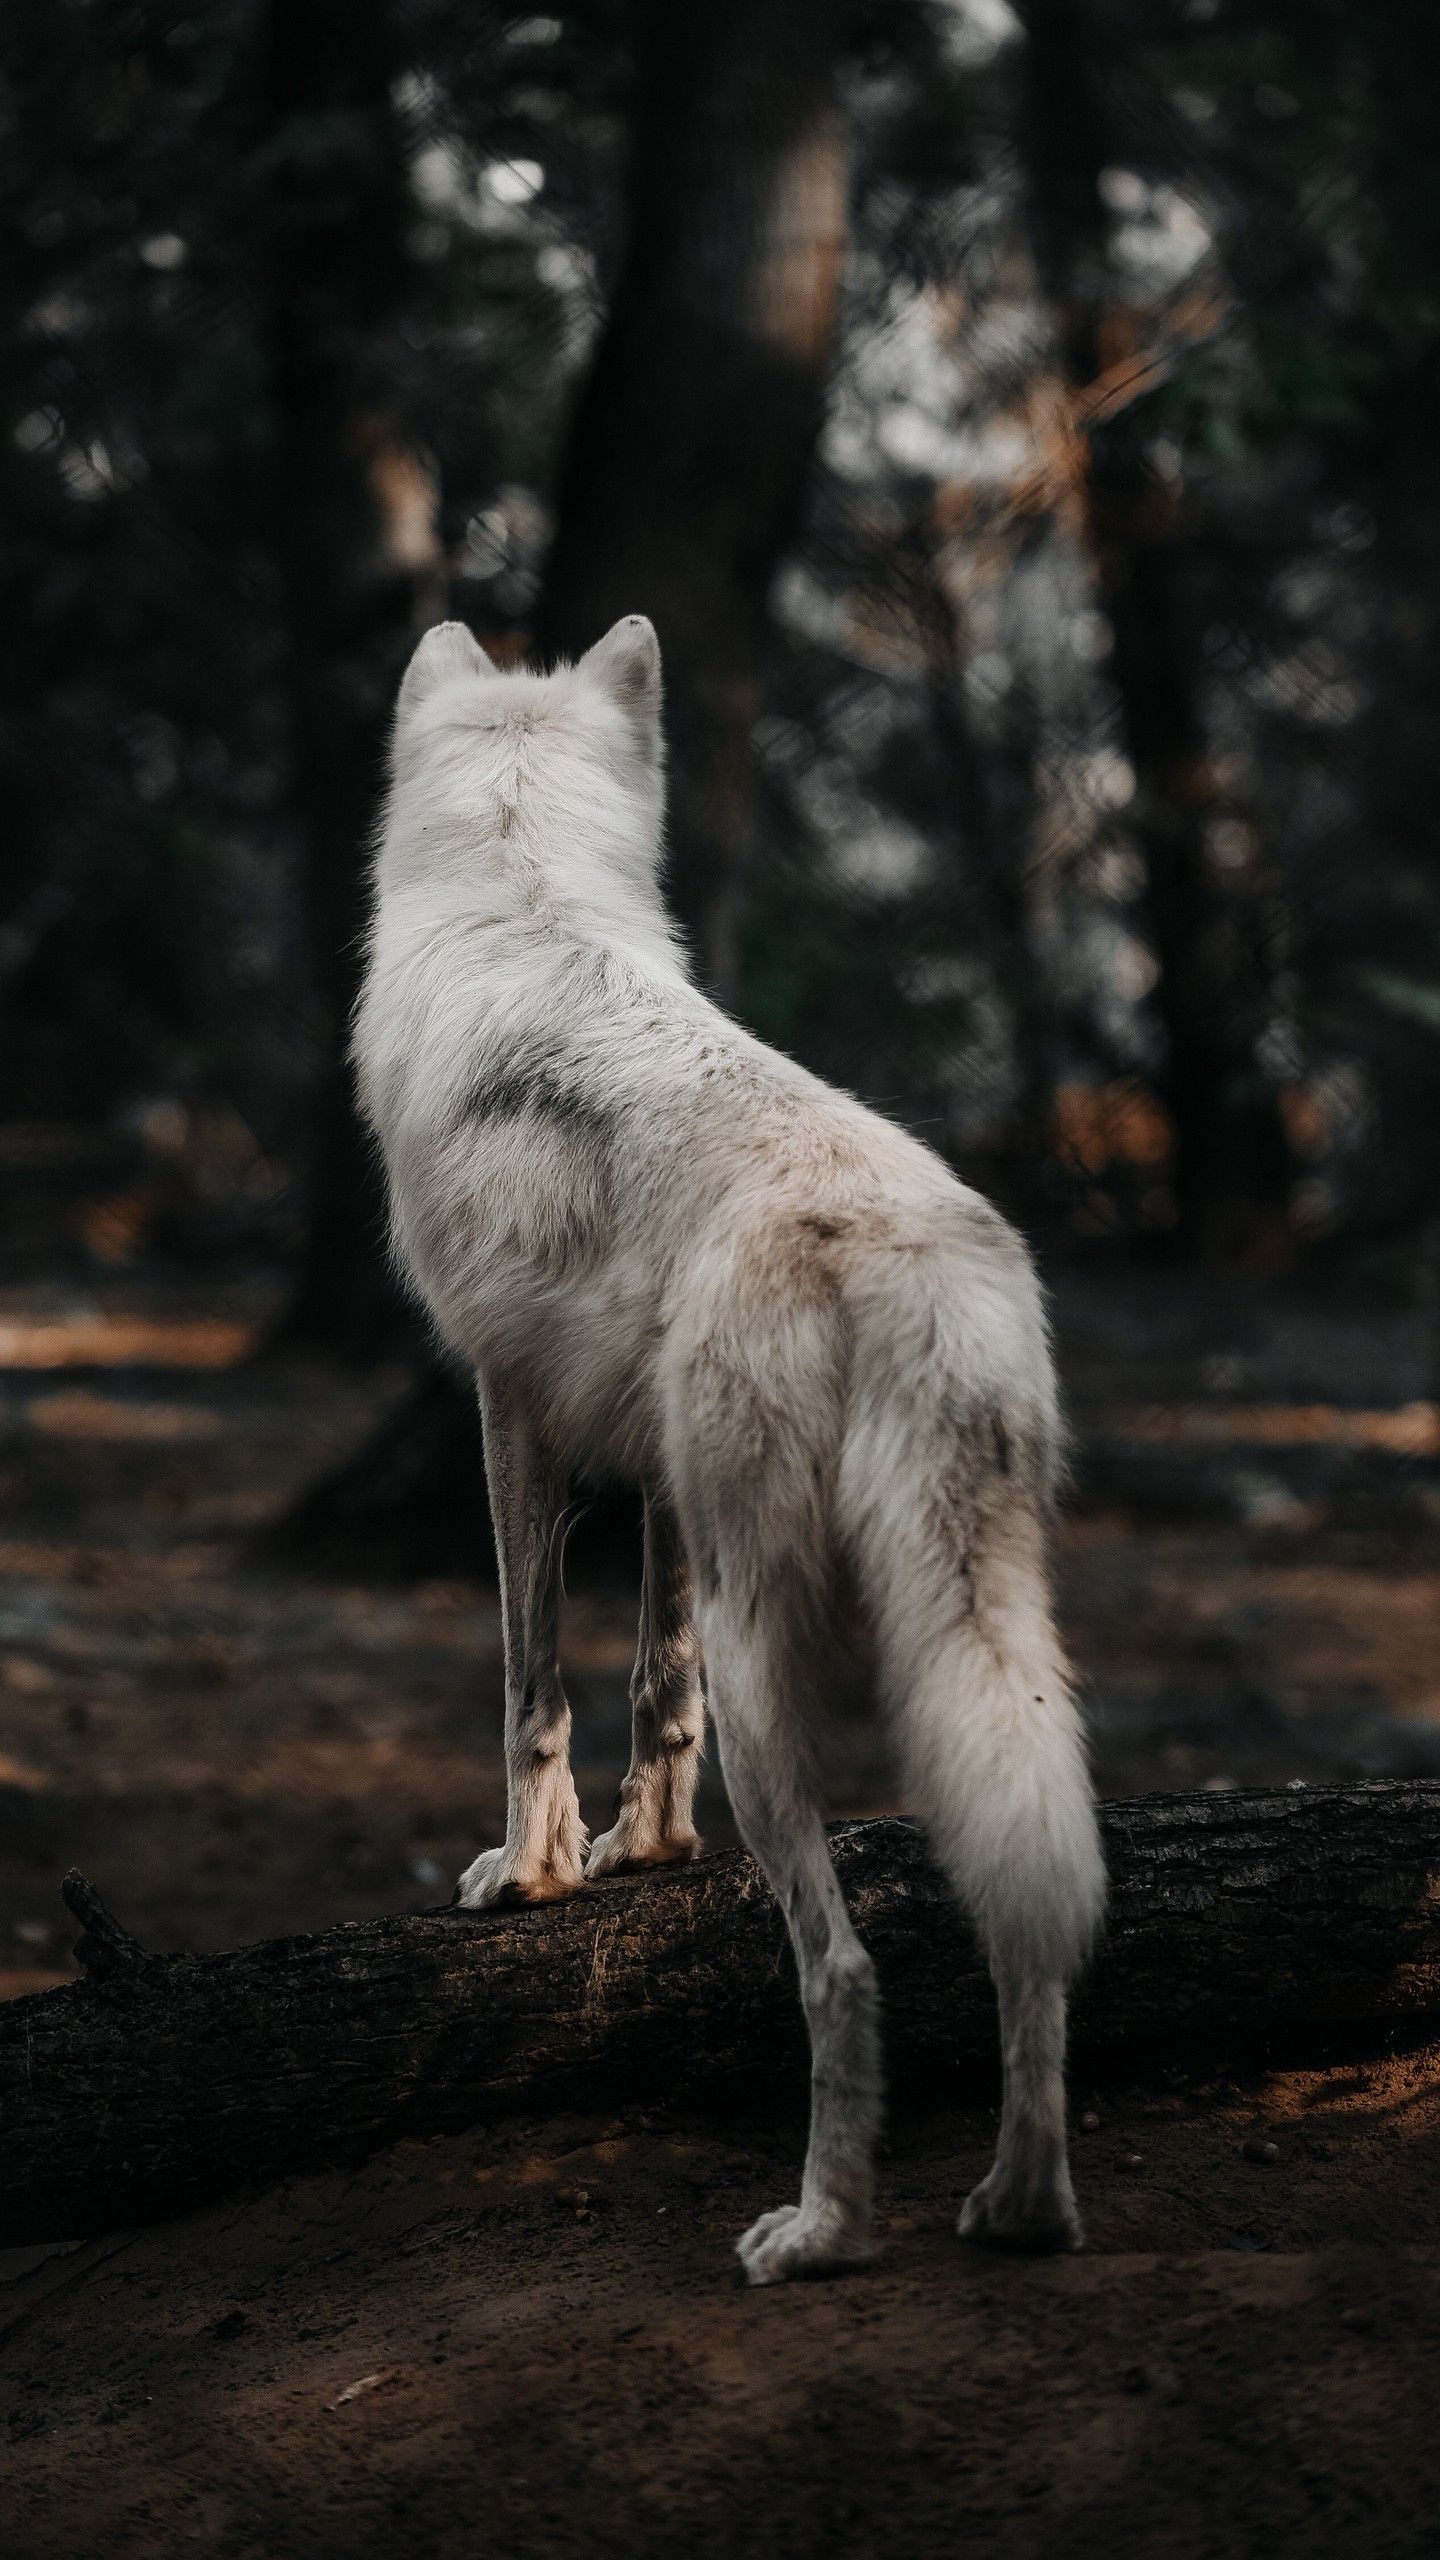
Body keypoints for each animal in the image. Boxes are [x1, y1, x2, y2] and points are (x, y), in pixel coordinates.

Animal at [353, 613, 1105, 2284]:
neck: (523, 893)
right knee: (1031, 1910)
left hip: (792, 1689)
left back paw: (824, 2230)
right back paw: (1021, 2206)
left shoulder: (511, 1410)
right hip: (994, 1650)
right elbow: (653, 1682)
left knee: (843, 1970)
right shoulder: (662, 1479)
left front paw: (534, 1874)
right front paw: (644, 1854)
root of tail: (896, 1244)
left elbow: (532, 1689)